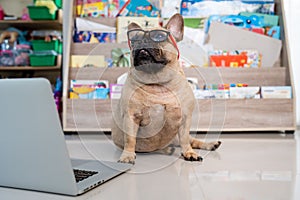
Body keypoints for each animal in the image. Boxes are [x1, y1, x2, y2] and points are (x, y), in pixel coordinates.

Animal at [112, 14, 220, 164]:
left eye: (159, 36)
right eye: (134, 40)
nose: (142, 41)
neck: (158, 82)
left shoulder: (185, 118)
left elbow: (185, 139)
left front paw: (188, 153)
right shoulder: (131, 117)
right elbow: (130, 139)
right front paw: (127, 155)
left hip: (177, 137)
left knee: (191, 140)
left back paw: (209, 144)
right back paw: (168, 150)